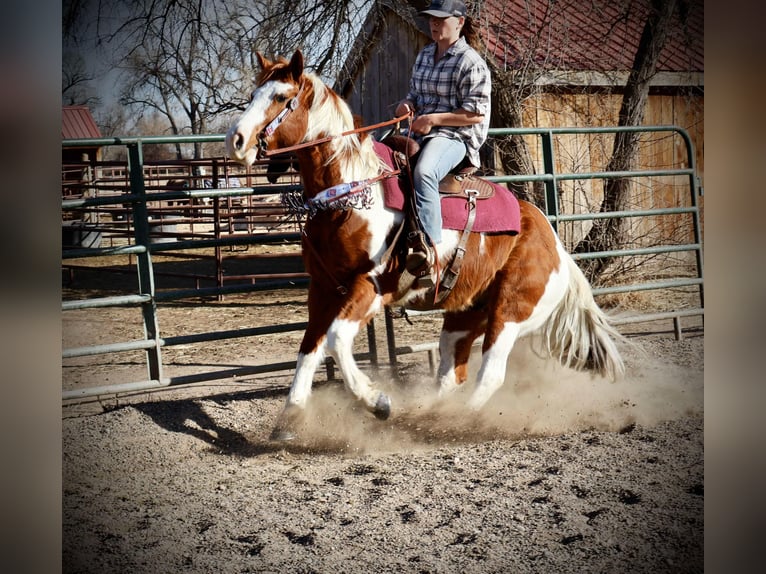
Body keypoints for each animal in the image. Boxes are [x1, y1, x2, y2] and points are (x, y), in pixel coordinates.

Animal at [226, 51, 624, 444]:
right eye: (253, 94)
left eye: (281, 97)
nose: (237, 139)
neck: (348, 194)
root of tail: (556, 248)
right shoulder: (322, 289)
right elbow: (309, 347)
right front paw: (290, 419)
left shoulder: (370, 288)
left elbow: (336, 340)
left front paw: (377, 402)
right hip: (465, 316)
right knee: (452, 373)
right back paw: (427, 415)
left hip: (510, 312)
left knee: (491, 373)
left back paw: (450, 423)